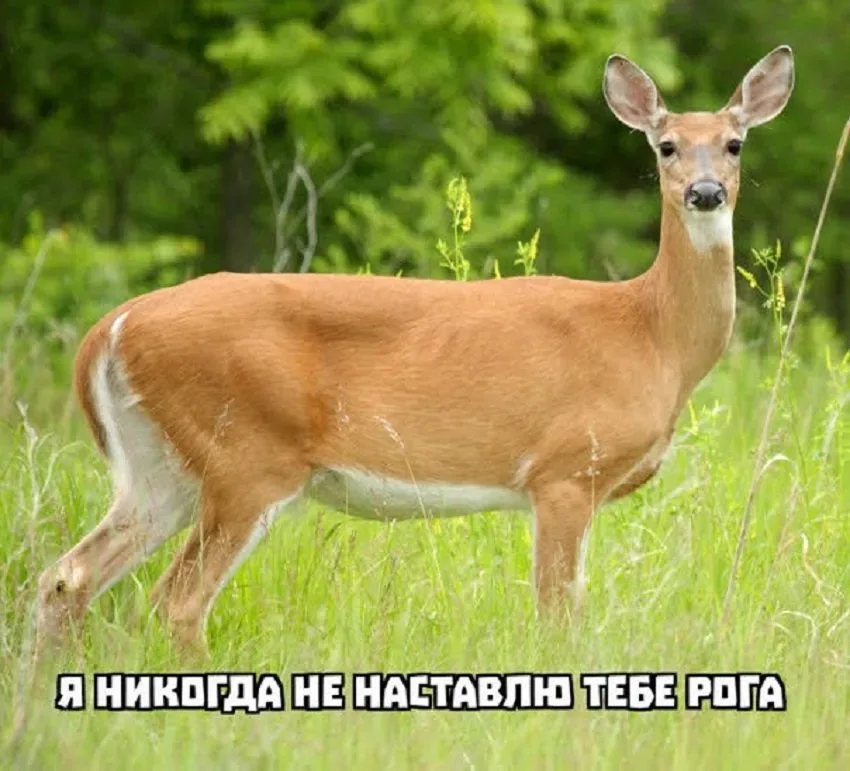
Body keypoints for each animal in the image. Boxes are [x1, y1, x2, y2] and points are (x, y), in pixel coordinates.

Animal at [35, 46, 794, 657]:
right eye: (665, 145)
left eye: (734, 144)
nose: (704, 191)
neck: (650, 333)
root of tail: (112, 326)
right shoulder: (564, 470)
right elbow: (557, 618)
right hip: (245, 455)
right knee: (176, 599)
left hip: (160, 465)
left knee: (67, 575)